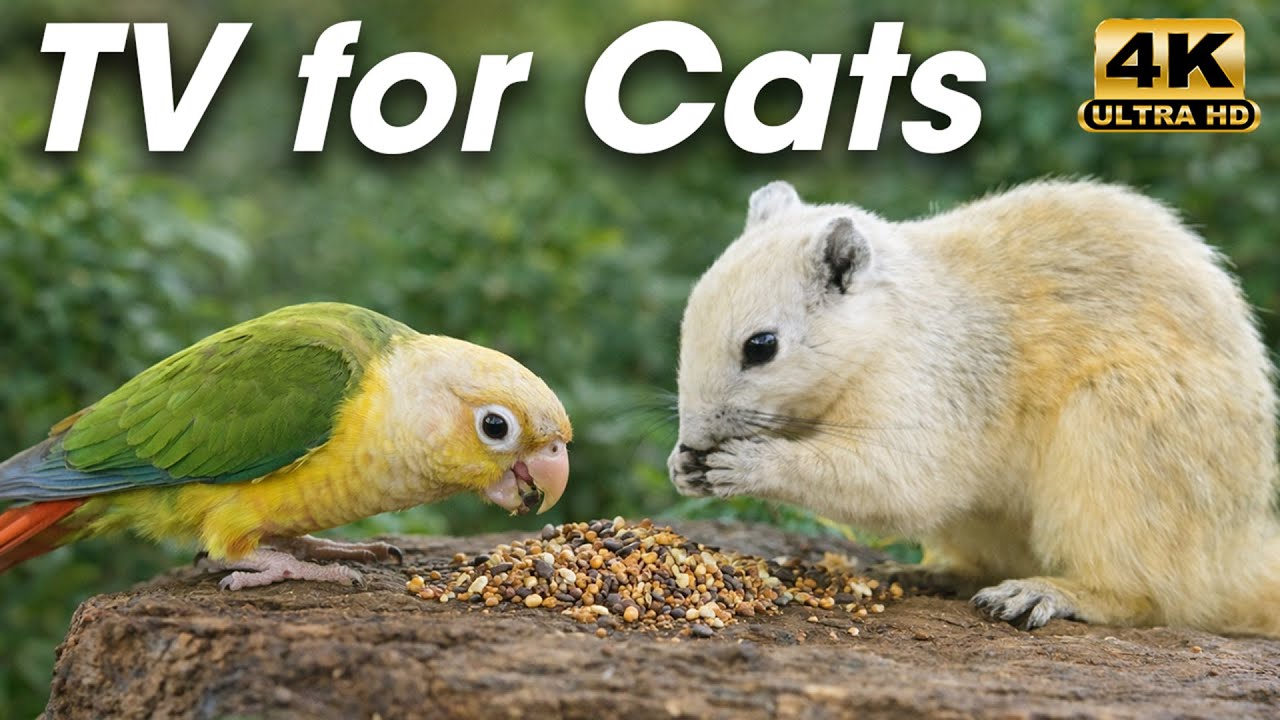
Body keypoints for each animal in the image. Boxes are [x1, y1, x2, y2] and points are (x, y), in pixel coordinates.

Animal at [668, 179, 1280, 637]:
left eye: (761, 346)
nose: (694, 437)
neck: (884, 327)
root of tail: (1233, 558)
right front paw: (682, 465)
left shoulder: (930, 385)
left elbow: (900, 481)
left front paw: (742, 464)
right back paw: (927, 575)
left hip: (1124, 436)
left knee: (1145, 594)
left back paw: (1048, 593)